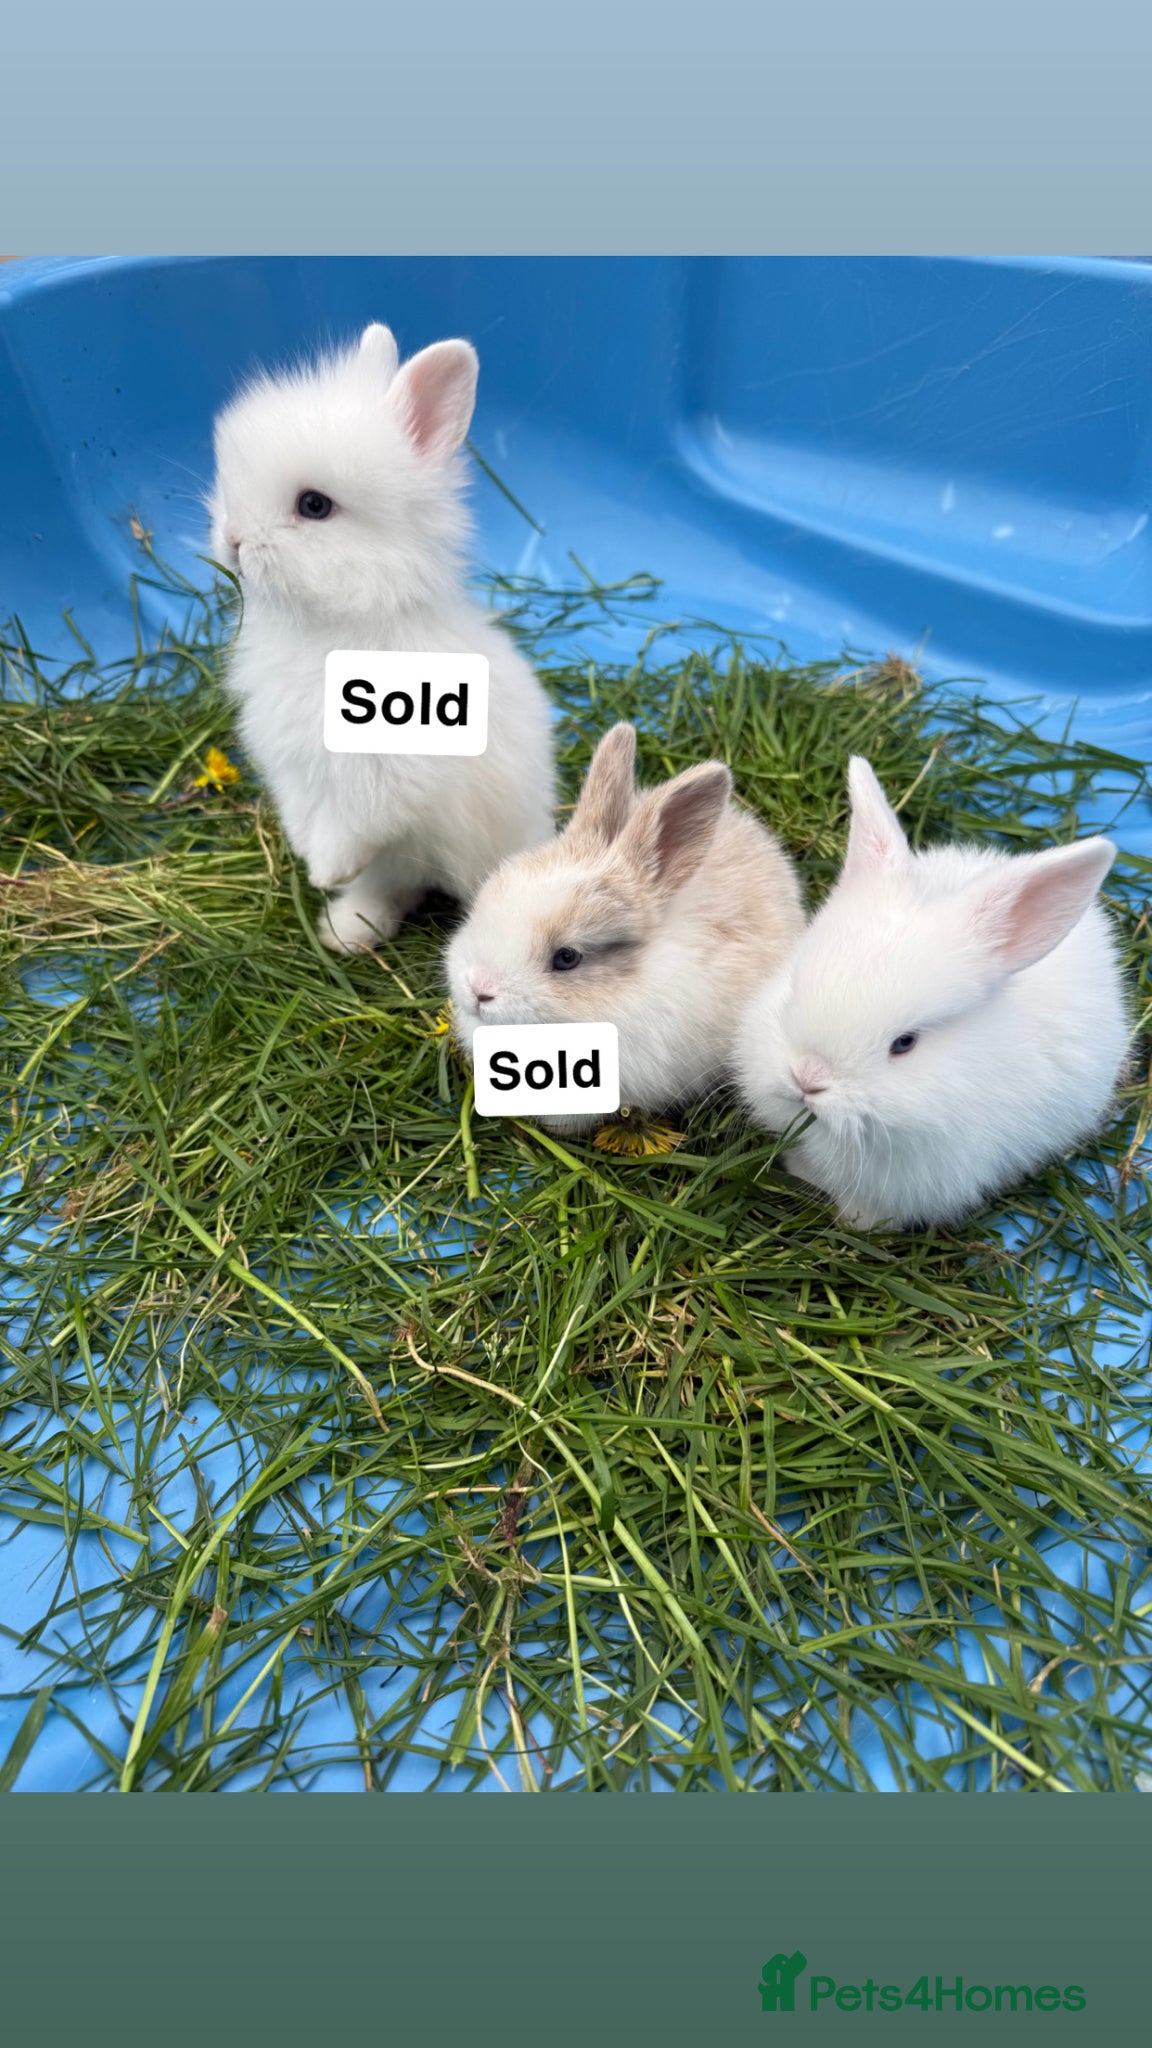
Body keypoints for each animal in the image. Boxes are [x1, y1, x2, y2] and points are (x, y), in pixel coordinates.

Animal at [208, 321, 557, 952]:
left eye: (314, 505)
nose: (234, 539)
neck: (335, 625)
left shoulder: (390, 767)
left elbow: (357, 818)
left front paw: (325, 868)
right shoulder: (292, 761)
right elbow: (303, 809)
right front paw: (310, 861)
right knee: (390, 891)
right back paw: (346, 932)